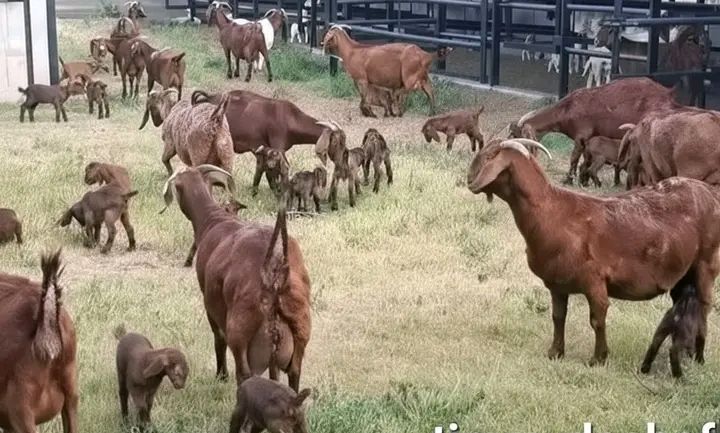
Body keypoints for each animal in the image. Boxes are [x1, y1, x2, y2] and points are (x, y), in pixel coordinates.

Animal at [161, 165, 312, 391]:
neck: (213, 219)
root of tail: (274, 274)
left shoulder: (210, 304)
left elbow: (218, 339)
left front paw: (221, 375)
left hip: (240, 332)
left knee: (244, 373)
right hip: (299, 330)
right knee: (294, 373)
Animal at [467, 138, 720, 366]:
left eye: (489, 157)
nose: (469, 180)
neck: (553, 212)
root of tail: (710, 193)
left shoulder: (594, 281)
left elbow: (597, 320)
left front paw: (598, 358)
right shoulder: (557, 284)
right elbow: (558, 317)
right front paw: (555, 352)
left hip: (707, 263)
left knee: (705, 306)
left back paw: (698, 357)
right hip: (682, 275)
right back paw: (685, 352)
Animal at [509, 77, 682, 184]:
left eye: (515, 134)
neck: (566, 109)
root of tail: (669, 95)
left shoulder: (581, 135)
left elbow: (574, 157)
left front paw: (569, 179)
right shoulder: (589, 140)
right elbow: (585, 159)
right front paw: (583, 180)